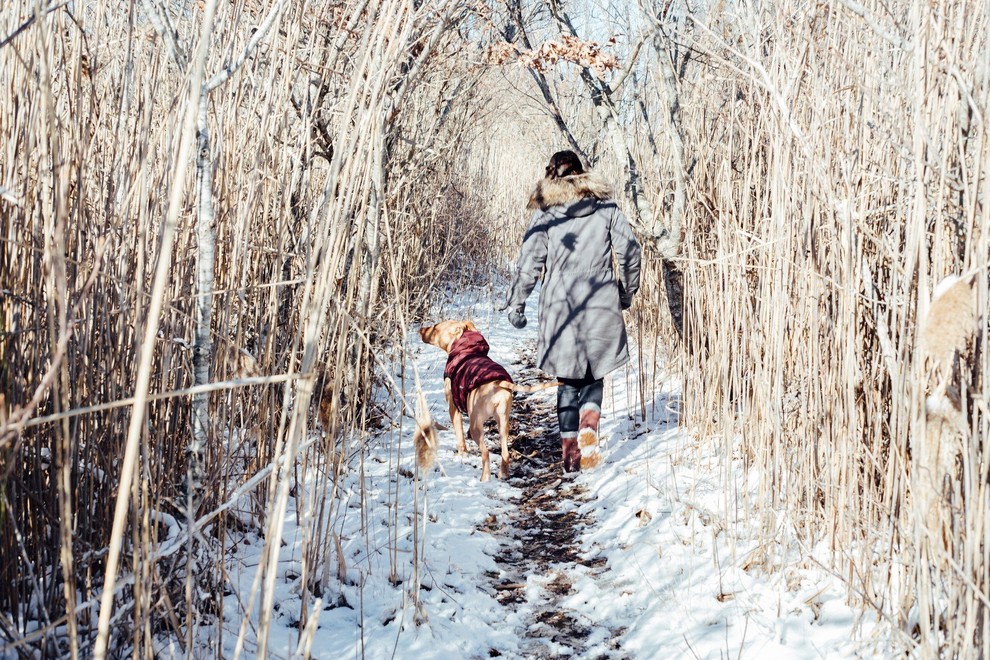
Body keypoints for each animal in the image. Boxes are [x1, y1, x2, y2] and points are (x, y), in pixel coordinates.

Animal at [418, 320, 560, 480]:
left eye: (436, 327)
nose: (420, 330)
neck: (467, 349)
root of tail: (497, 384)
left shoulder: (453, 408)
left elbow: (459, 435)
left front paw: (462, 455)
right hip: (503, 422)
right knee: (505, 452)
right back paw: (503, 473)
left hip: (476, 425)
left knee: (485, 453)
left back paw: (484, 478)